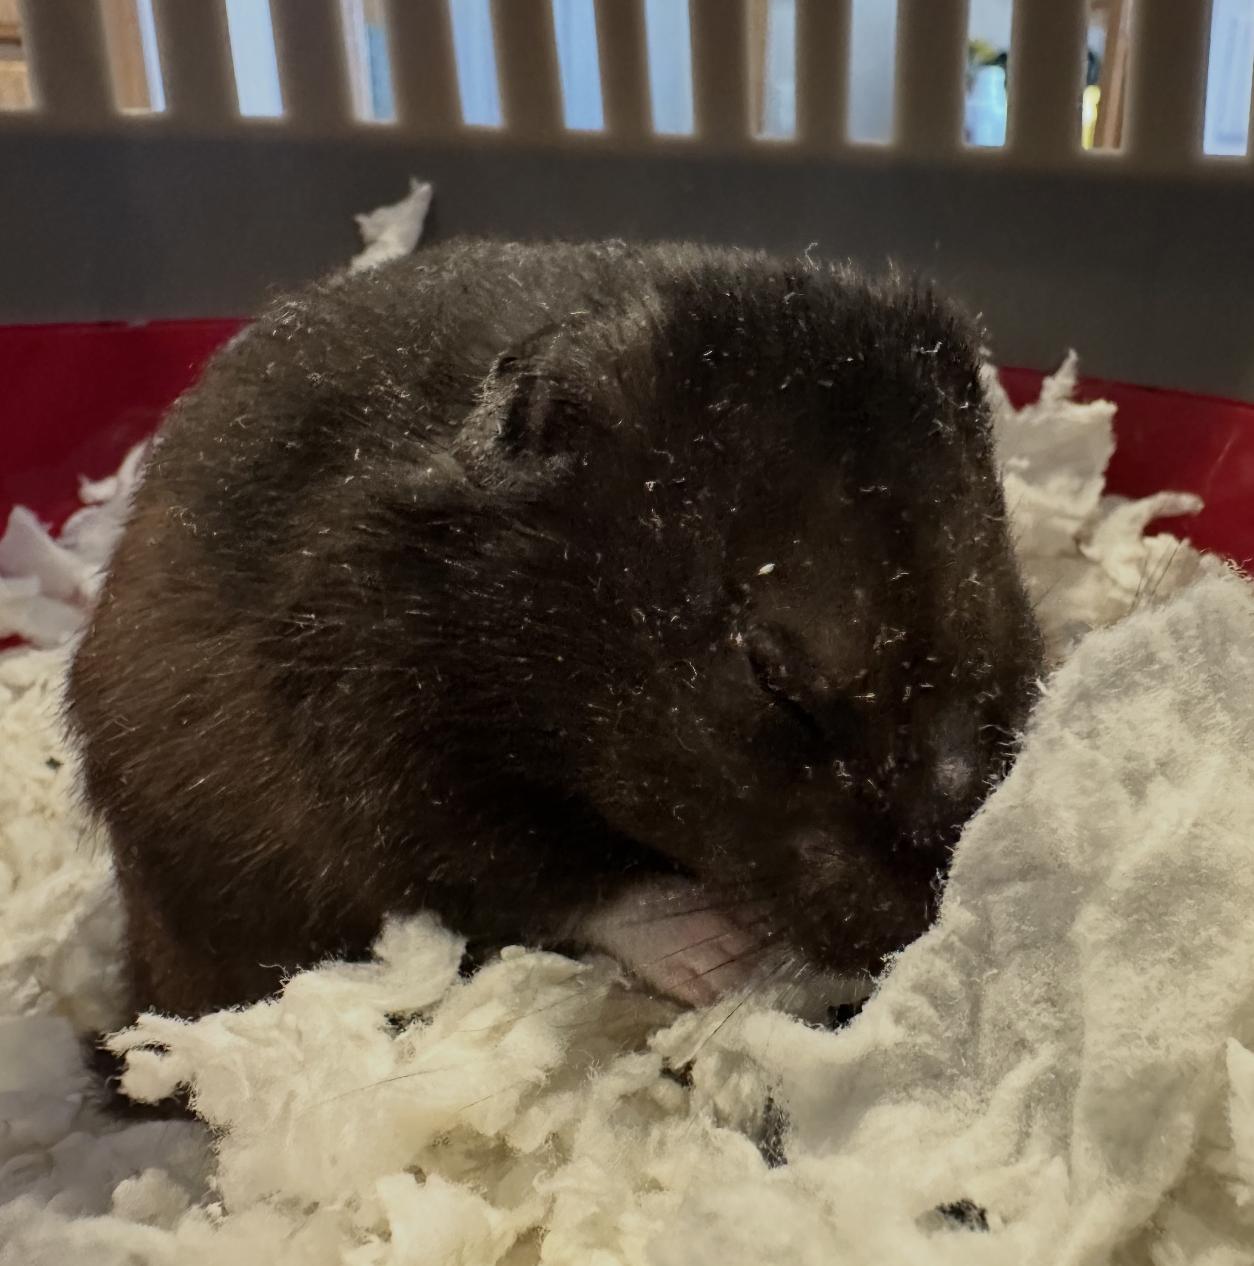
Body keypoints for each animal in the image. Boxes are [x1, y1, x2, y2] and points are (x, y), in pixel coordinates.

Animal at [67, 239, 1044, 1020]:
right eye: (774, 682)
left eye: (1014, 648)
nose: (918, 929)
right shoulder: (367, 743)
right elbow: (535, 875)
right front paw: (720, 958)